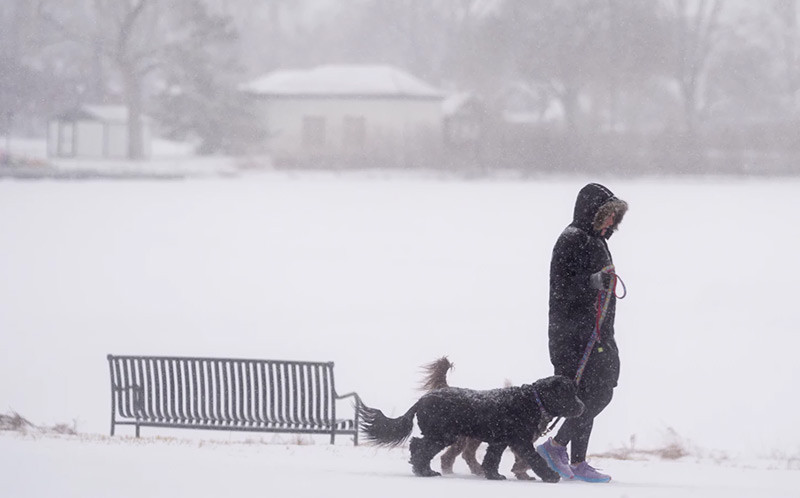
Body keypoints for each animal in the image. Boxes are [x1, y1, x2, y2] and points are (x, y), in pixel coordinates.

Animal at [358, 372, 580, 480]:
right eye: (568, 393)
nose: (583, 406)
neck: (532, 401)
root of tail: (422, 400)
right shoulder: (521, 442)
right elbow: (536, 460)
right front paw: (551, 477)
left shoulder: (500, 442)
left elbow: (492, 460)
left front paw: (494, 476)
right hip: (442, 435)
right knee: (420, 448)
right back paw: (424, 471)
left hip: (441, 436)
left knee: (417, 445)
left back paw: (422, 469)